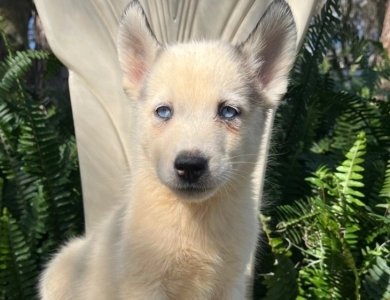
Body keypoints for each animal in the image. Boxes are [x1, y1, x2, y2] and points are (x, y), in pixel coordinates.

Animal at [39, 1, 296, 298]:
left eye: (228, 112)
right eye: (163, 111)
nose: (190, 166)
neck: (193, 218)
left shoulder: (232, 283)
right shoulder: (144, 285)